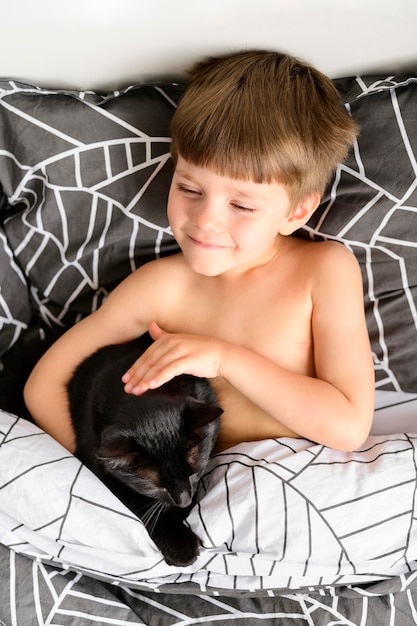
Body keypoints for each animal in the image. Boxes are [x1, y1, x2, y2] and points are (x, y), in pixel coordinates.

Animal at [67, 332, 223, 564]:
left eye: (193, 473)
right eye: (156, 486)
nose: (184, 501)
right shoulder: (98, 466)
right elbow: (140, 502)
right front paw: (180, 546)